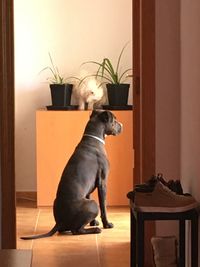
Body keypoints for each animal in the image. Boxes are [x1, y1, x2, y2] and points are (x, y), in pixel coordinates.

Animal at [21, 110, 122, 240]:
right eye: (114, 120)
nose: (122, 125)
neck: (93, 138)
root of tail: (60, 221)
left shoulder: (89, 190)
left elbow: (90, 195)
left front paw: (93, 222)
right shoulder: (103, 183)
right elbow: (104, 206)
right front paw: (106, 224)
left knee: (68, 229)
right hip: (93, 204)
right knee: (76, 230)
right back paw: (95, 230)